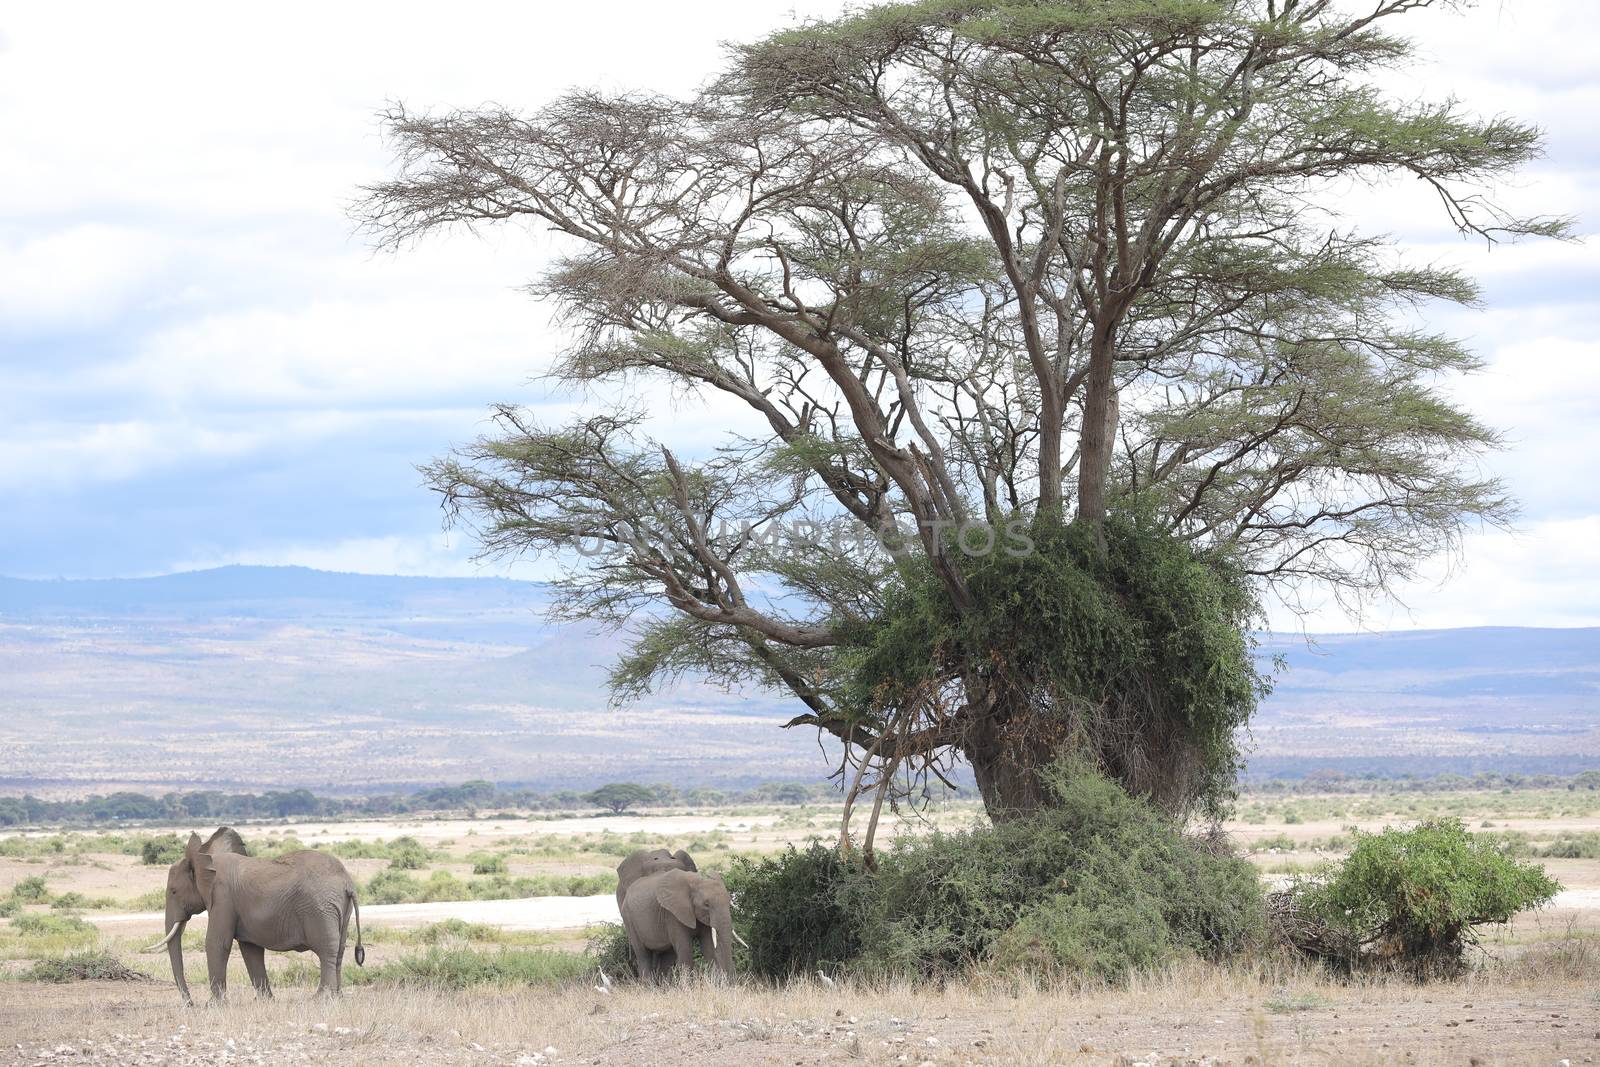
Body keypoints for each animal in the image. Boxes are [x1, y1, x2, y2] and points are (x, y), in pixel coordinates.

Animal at [146, 831, 366, 1004]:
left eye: (173, 891)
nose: (190, 1003)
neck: (206, 858)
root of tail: (348, 883)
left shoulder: (223, 898)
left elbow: (217, 943)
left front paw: (213, 1006)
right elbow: (250, 949)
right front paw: (264, 1002)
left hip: (320, 908)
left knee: (327, 950)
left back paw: (321, 999)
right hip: (338, 908)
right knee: (339, 951)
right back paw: (337, 998)